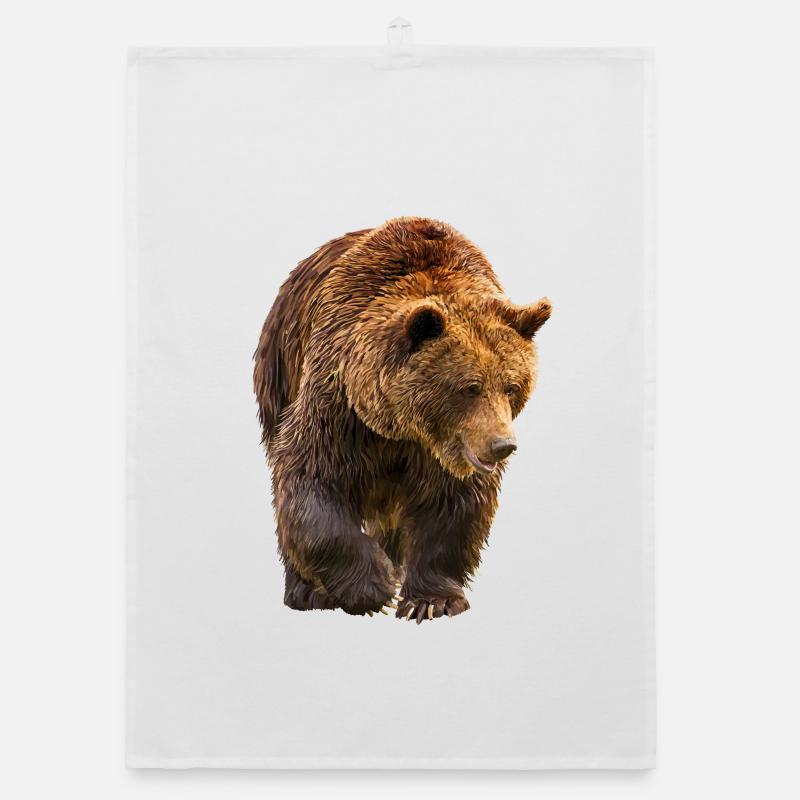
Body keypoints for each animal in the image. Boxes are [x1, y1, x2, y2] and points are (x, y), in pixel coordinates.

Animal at [253, 217, 551, 623]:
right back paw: (306, 591)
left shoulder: (445, 451)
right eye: (470, 387)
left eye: (511, 386)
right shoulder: (339, 405)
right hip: (280, 368)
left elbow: (453, 504)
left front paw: (433, 600)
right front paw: (373, 589)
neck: (402, 426)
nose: (502, 445)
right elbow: (311, 479)